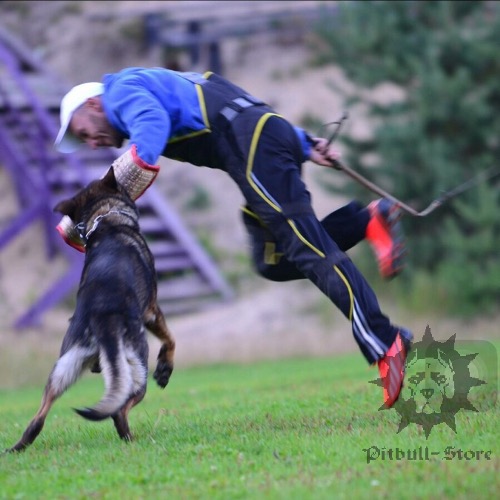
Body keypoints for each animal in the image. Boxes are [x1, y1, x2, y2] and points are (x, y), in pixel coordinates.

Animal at [6, 168, 176, 454]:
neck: (105, 220)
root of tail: (102, 319)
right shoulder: (152, 310)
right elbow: (170, 338)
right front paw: (165, 368)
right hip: (136, 366)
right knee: (119, 410)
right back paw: (132, 440)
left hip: (62, 370)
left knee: (38, 419)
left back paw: (18, 446)